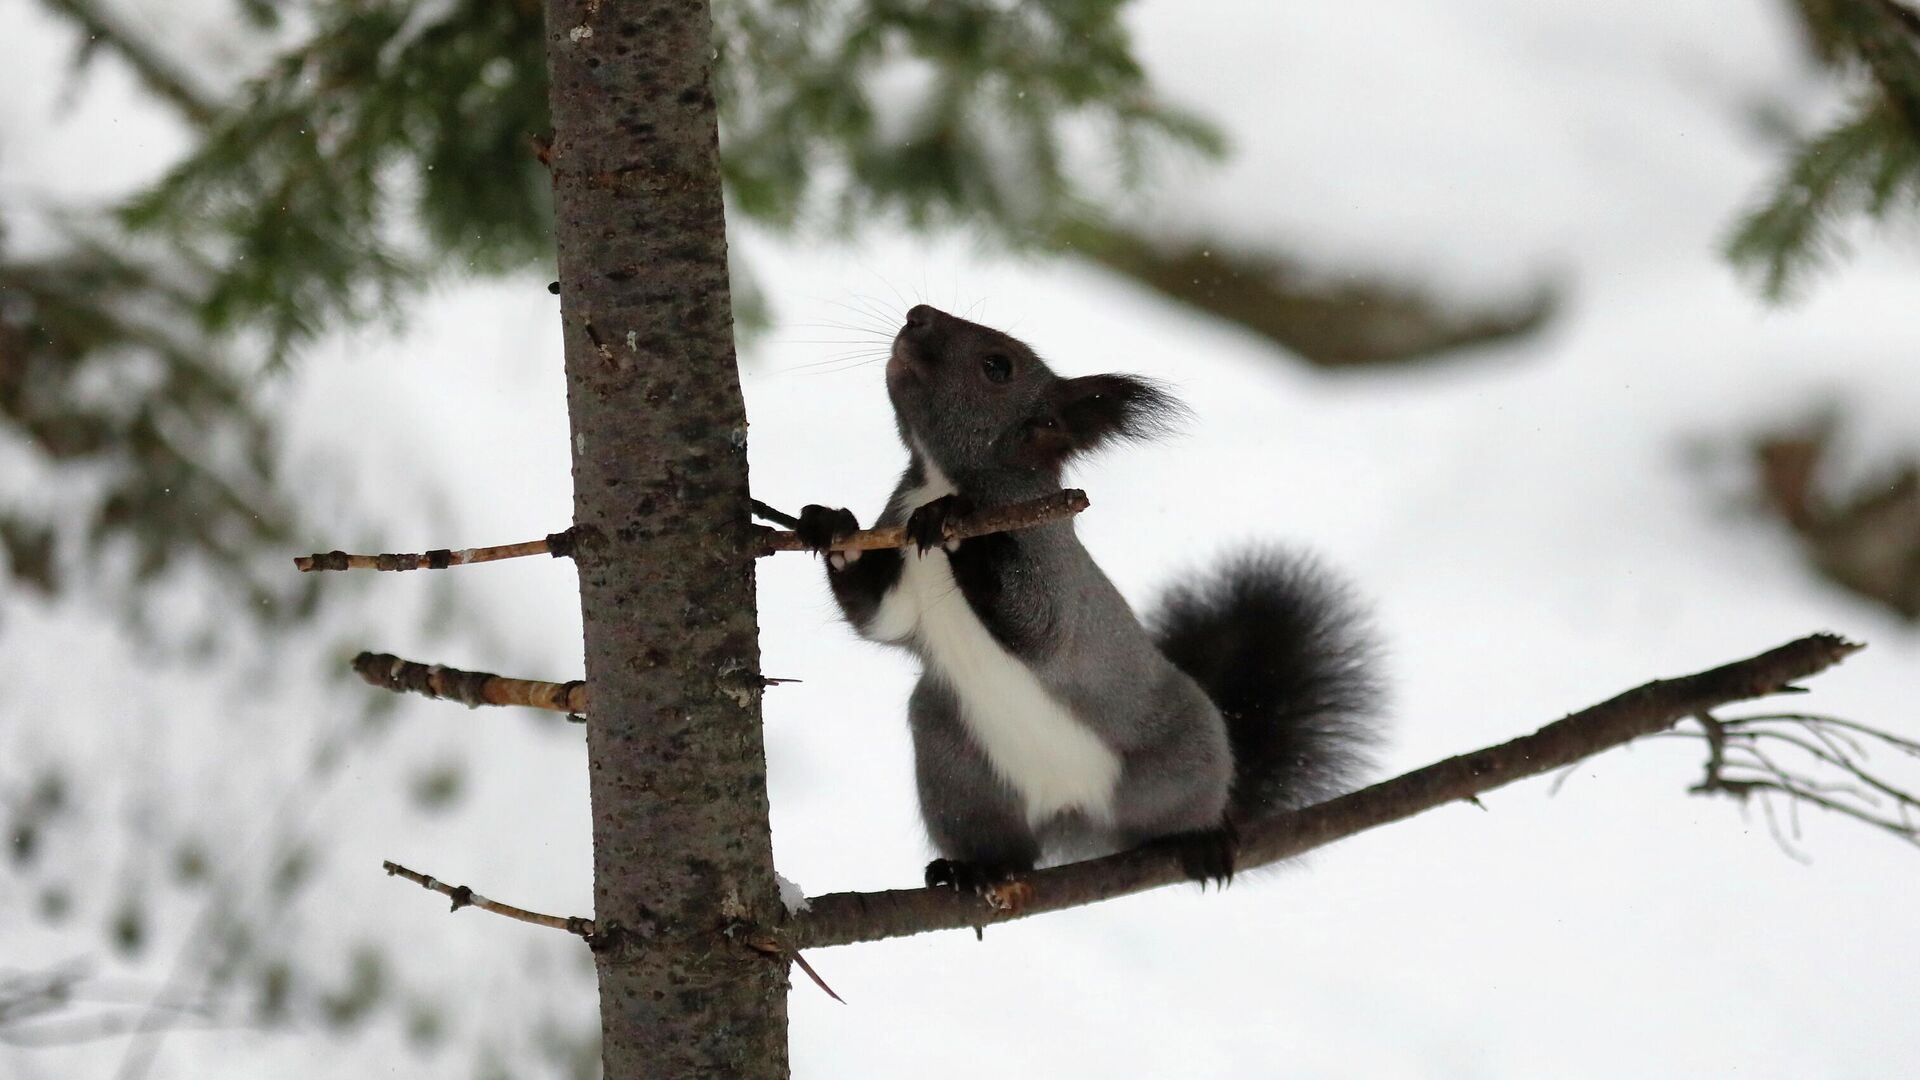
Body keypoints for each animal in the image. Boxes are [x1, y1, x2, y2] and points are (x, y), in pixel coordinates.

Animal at [794, 305, 1382, 891]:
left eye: (997, 367)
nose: (917, 316)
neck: (939, 480)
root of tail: (1070, 808)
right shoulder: (900, 573)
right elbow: (878, 618)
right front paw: (831, 528)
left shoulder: (1051, 565)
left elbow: (1038, 627)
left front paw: (952, 522)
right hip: (956, 768)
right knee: (1006, 848)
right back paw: (975, 869)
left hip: (1181, 756)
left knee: (1177, 810)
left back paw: (1202, 839)